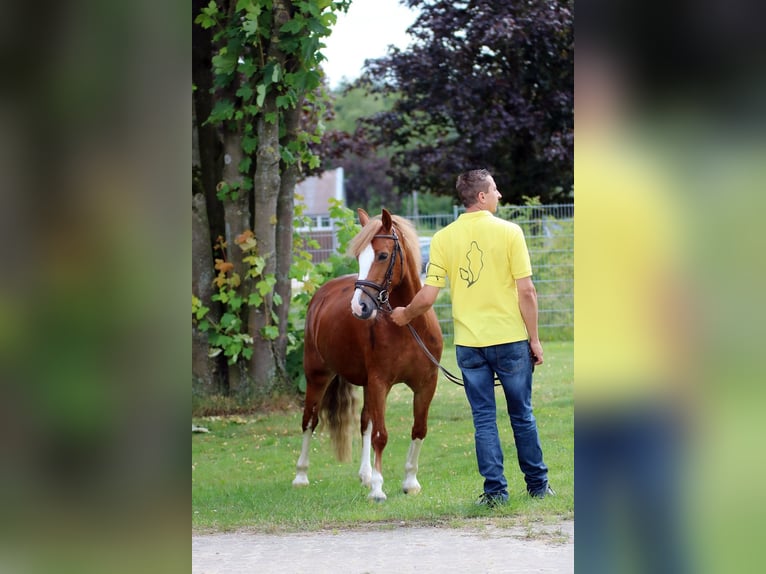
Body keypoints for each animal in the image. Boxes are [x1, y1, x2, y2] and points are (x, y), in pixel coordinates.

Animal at [292, 209, 444, 502]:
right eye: (358, 258)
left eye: (383, 255)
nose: (359, 307)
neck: (408, 324)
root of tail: (321, 295)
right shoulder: (379, 382)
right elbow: (381, 436)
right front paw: (378, 488)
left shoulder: (425, 384)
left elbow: (418, 429)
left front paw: (410, 482)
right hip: (317, 375)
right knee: (309, 420)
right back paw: (301, 476)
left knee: (364, 421)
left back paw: (365, 474)